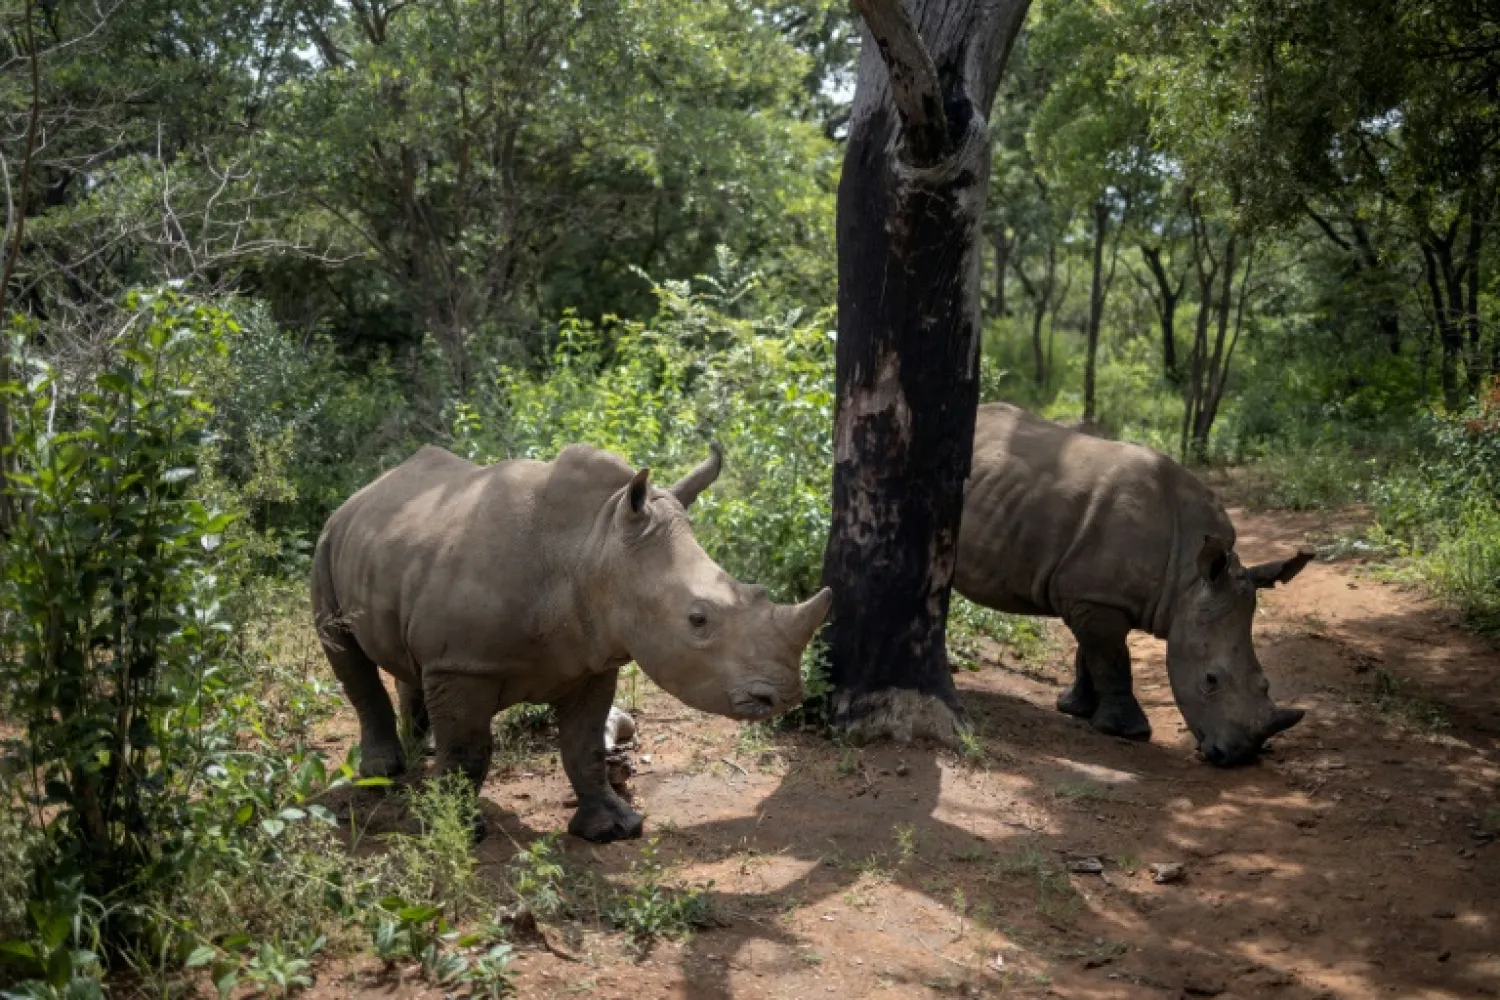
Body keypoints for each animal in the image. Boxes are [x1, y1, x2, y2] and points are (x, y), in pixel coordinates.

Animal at [311, 442, 832, 842]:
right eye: (698, 620)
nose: (785, 695)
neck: (592, 547)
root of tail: (367, 489)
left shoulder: (593, 658)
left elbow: (584, 747)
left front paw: (614, 828)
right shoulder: (464, 663)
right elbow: (468, 752)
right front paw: (456, 831)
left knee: (410, 661)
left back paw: (423, 747)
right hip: (327, 540)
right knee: (345, 653)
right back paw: (383, 771)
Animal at [955, 403, 1311, 766]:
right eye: (1210, 681)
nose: (1239, 756)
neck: (1187, 580)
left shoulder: (1090, 593)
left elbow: (1089, 654)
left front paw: (1075, 709)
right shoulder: (1096, 598)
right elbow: (1111, 658)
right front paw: (1129, 732)